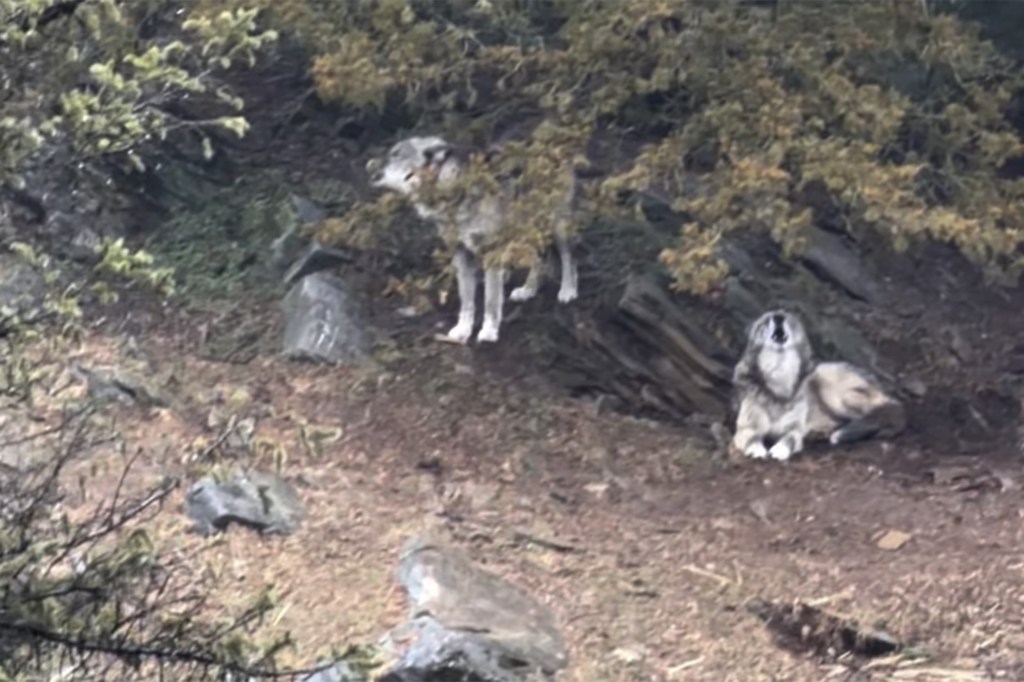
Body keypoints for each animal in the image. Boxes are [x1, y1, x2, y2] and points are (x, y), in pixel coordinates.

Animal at [365, 135, 579, 345]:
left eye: (396, 154)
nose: (369, 163)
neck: (449, 184)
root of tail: (552, 145)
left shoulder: (492, 253)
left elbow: (491, 299)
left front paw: (489, 331)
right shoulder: (461, 254)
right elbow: (467, 300)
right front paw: (463, 330)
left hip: (558, 227)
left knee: (569, 258)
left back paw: (568, 290)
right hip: (526, 232)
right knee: (539, 260)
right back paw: (528, 289)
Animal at [731, 309, 906, 461]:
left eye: (785, 316)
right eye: (766, 321)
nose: (778, 317)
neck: (780, 384)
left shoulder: (794, 430)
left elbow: (789, 439)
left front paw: (779, 450)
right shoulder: (746, 429)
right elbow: (752, 439)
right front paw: (757, 450)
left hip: (834, 392)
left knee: (878, 416)